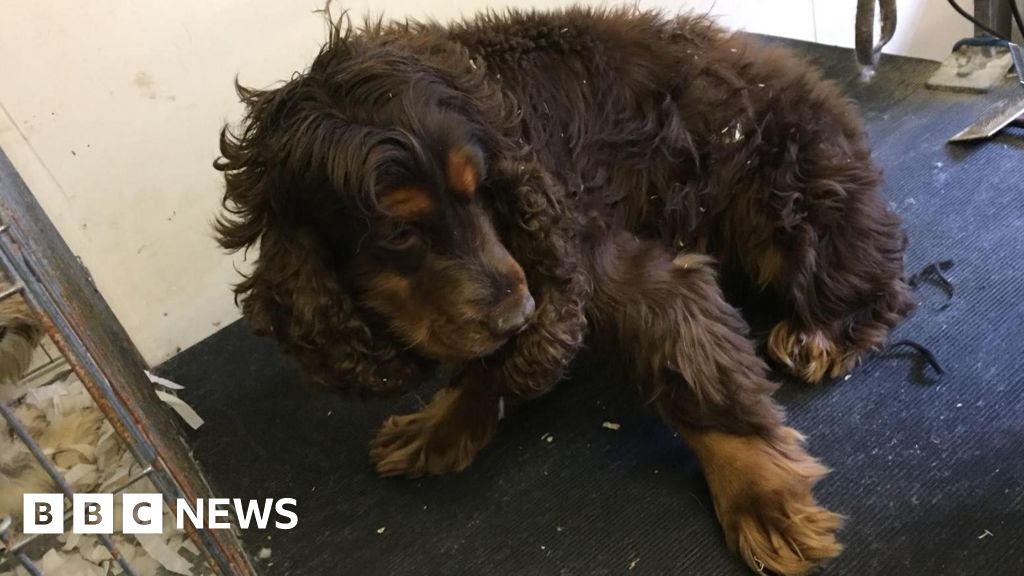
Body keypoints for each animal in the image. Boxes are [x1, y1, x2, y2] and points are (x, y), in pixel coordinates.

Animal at [215, 7, 914, 574]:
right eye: (398, 230)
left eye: (481, 188)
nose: (518, 314)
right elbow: (491, 359)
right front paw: (441, 424)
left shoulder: (600, 265)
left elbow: (699, 379)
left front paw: (762, 498)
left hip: (784, 199)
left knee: (875, 277)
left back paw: (824, 334)